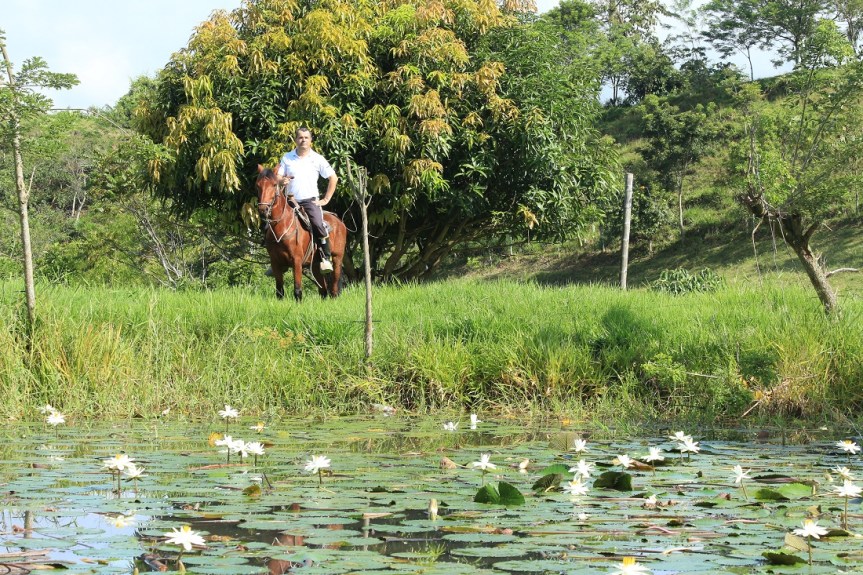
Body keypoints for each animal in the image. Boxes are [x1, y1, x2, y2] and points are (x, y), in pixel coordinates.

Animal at [255, 165, 346, 301]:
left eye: (274, 184)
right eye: (258, 185)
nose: (263, 209)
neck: (282, 226)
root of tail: (339, 222)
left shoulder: (296, 261)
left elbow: (297, 290)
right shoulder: (275, 262)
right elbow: (279, 291)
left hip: (337, 258)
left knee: (334, 286)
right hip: (315, 263)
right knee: (323, 289)